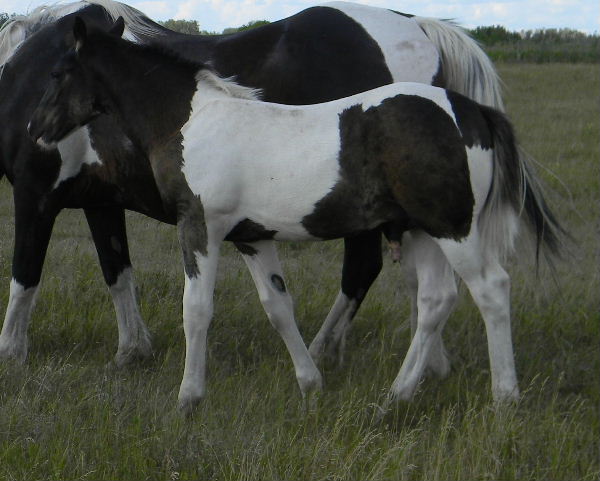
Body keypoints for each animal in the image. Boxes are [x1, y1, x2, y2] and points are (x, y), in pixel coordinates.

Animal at [29, 17, 563, 410]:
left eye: (57, 74)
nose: (35, 129)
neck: (192, 121)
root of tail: (471, 111)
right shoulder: (253, 238)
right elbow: (278, 307)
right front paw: (311, 383)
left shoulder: (199, 227)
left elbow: (196, 310)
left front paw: (188, 398)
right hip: (422, 232)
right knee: (436, 301)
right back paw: (396, 396)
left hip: (455, 229)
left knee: (491, 290)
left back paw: (505, 398)